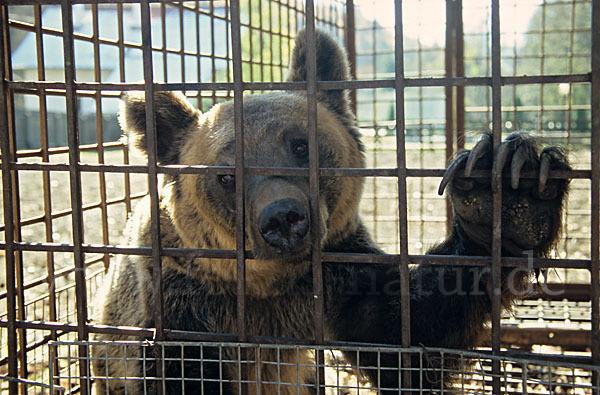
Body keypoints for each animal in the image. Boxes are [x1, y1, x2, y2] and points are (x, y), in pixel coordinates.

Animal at [91, 29, 568, 394]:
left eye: (302, 145)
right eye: (226, 175)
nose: (283, 217)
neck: (269, 286)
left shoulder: (339, 277)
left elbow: (408, 333)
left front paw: (507, 196)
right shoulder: (185, 304)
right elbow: (182, 374)